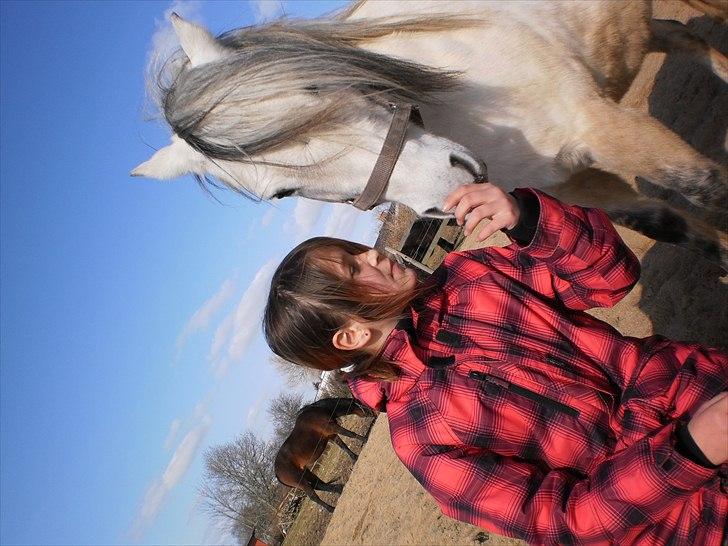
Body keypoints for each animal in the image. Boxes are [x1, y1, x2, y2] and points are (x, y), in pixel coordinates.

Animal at [132, 0, 728, 268]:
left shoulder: (608, 129)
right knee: (685, 36)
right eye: (283, 194)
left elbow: (708, 189)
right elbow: (674, 224)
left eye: (312, 85)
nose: (453, 186)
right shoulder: (577, 184)